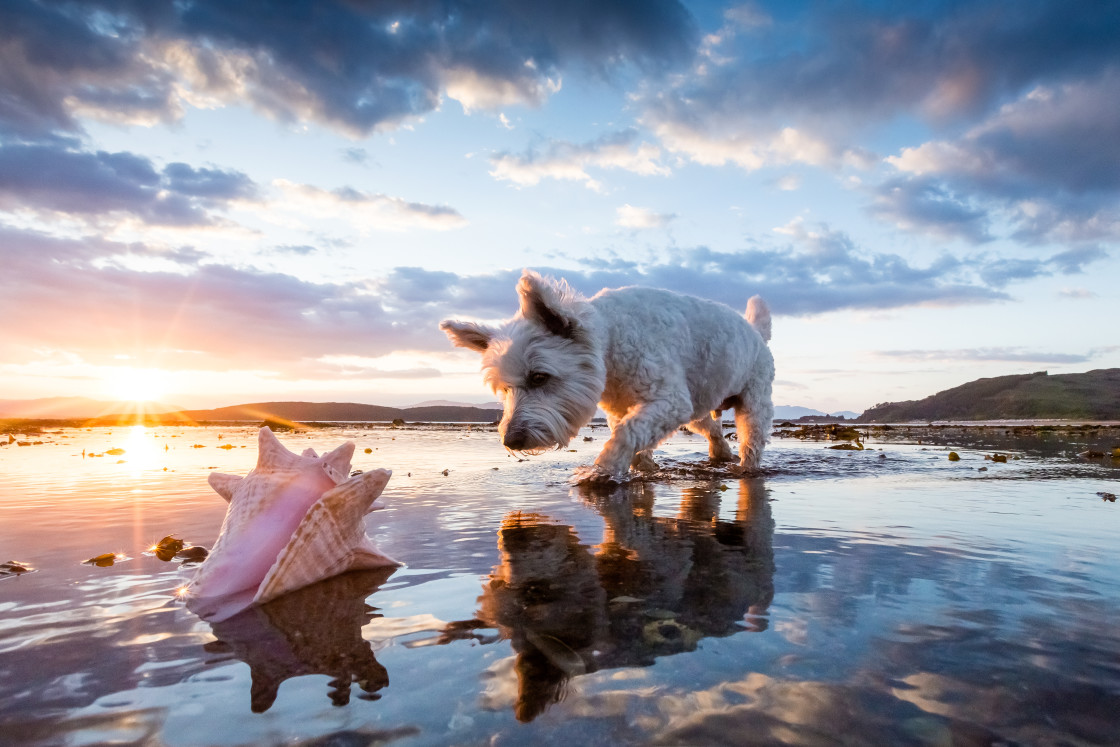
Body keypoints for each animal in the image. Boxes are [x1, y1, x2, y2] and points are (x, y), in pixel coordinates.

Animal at [441, 272, 775, 481]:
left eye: (538, 377)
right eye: (504, 390)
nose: (511, 441)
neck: (611, 340)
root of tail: (755, 333)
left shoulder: (668, 401)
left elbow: (626, 434)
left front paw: (601, 471)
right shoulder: (625, 408)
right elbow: (630, 435)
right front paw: (642, 467)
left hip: (753, 404)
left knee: (751, 441)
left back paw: (745, 466)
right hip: (698, 404)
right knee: (713, 430)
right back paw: (720, 455)